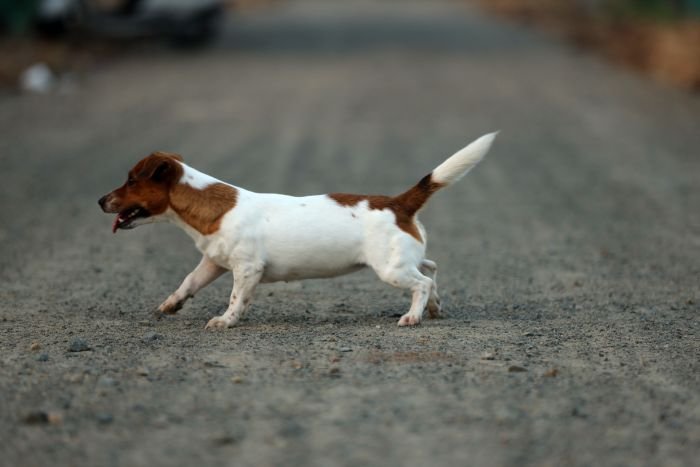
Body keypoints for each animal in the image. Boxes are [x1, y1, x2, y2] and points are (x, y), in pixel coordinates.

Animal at [98, 132, 494, 330]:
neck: (212, 206)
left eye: (131, 181)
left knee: (422, 282)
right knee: (431, 269)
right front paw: (170, 305)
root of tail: (399, 203)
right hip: (402, 259)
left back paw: (413, 316)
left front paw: (226, 320)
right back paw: (434, 308)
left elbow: (235, 298)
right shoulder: (213, 263)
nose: (100, 200)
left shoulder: (246, 269)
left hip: (389, 268)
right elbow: (188, 282)